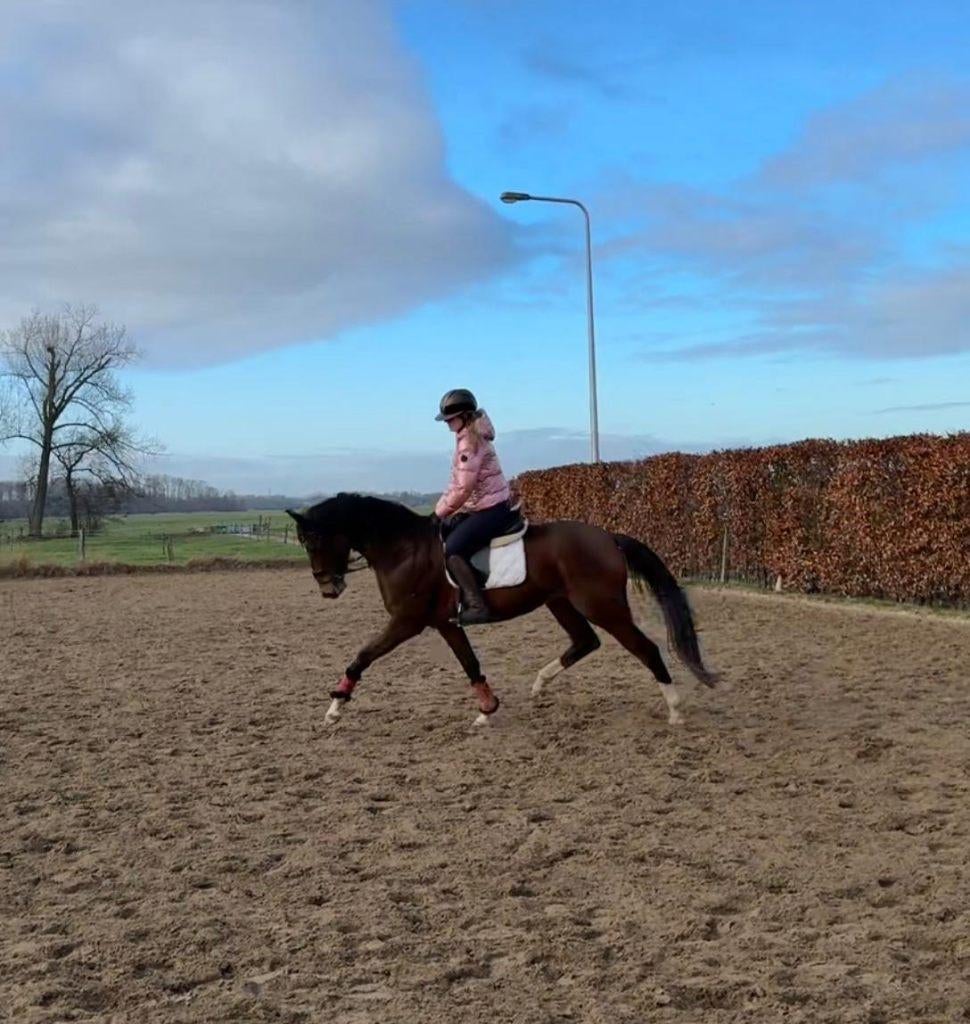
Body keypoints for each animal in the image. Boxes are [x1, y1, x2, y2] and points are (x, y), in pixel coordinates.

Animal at [286, 494, 717, 728]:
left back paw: (675, 710)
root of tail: (608, 537)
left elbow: (363, 655)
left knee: (645, 648)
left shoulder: (407, 621)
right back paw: (540, 684)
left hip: (602, 605)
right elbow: (470, 664)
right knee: (585, 641)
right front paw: (487, 710)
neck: (403, 549)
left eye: (313, 540)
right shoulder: (446, 623)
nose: (328, 588)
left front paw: (335, 707)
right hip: (560, 602)